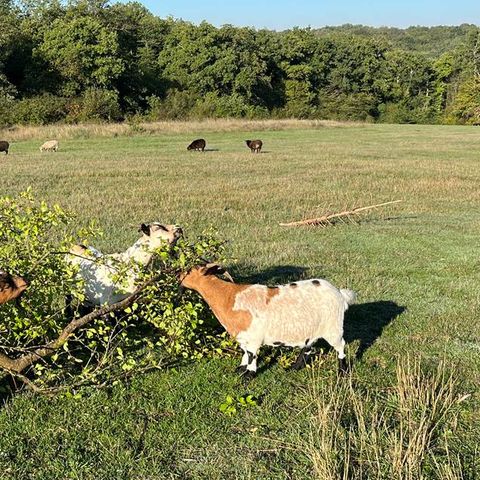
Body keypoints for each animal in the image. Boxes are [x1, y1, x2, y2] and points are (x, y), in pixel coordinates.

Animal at [180, 264, 356, 376]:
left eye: (189, 270)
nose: (177, 275)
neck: (229, 297)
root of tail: (340, 294)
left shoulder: (253, 338)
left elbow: (252, 356)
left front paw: (248, 376)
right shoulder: (243, 337)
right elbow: (245, 353)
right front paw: (240, 369)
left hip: (333, 328)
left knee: (340, 346)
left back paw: (342, 371)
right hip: (312, 330)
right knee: (308, 348)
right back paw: (294, 367)